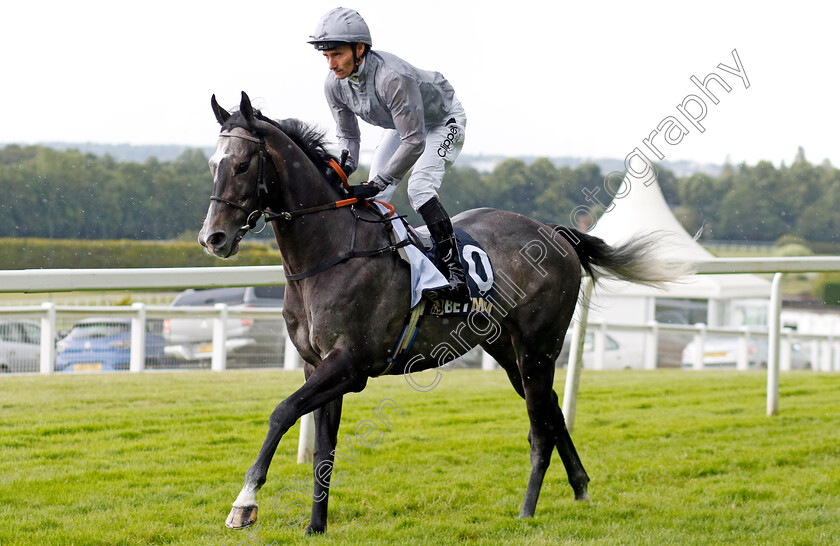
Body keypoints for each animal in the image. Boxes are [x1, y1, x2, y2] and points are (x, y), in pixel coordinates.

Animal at [202, 92, 684, 532]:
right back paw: (581, 487)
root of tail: (555, 233)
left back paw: (527, 510)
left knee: (540, 425)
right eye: (212, 164)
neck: (329, 253)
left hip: (538, 346)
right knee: (551, 409)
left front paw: (244, 504)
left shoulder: (349, 365)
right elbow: (323, 447)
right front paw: (316, 526)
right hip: (506, 348)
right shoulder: (315, 364)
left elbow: (282, 412)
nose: (213, 238)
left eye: (241, 165)